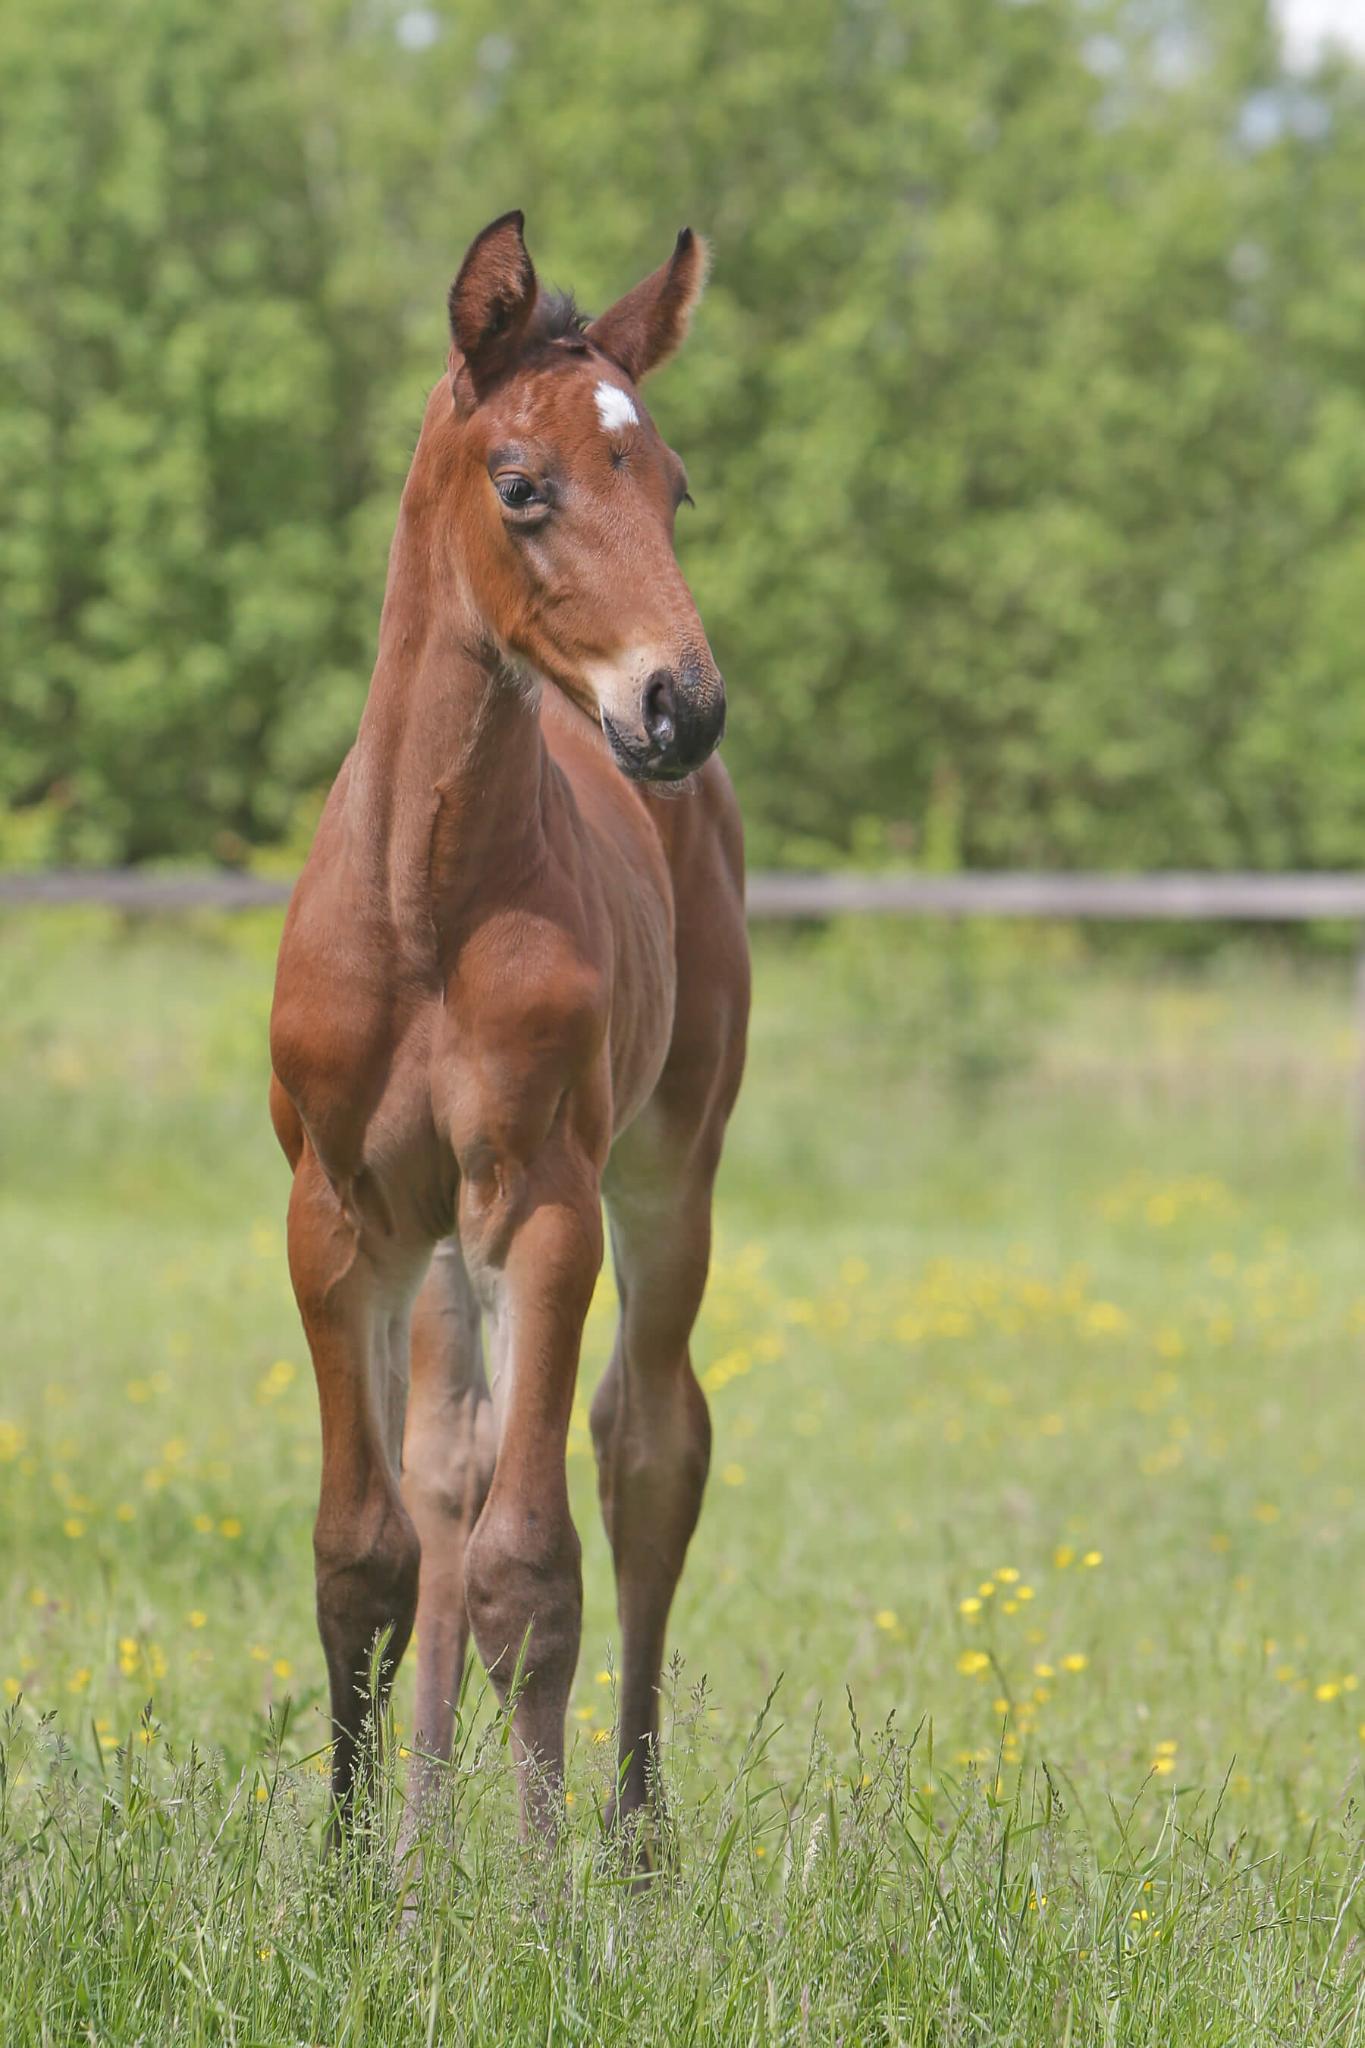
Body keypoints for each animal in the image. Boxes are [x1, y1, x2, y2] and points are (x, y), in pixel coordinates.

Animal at [268, 212, 749, 1852]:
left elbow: (533, 1568)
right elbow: (366, 1550)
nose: (680, 707)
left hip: (669, 1164)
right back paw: (428, 1839)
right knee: (447, 1474)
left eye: (672, 488)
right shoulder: (342, 1215)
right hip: (435, 1242)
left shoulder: (543, 1201)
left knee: (651, 1449)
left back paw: (634, 1847)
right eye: (522, 483)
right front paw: (356, 1870)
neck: (424, 906)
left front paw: (538, 1890)